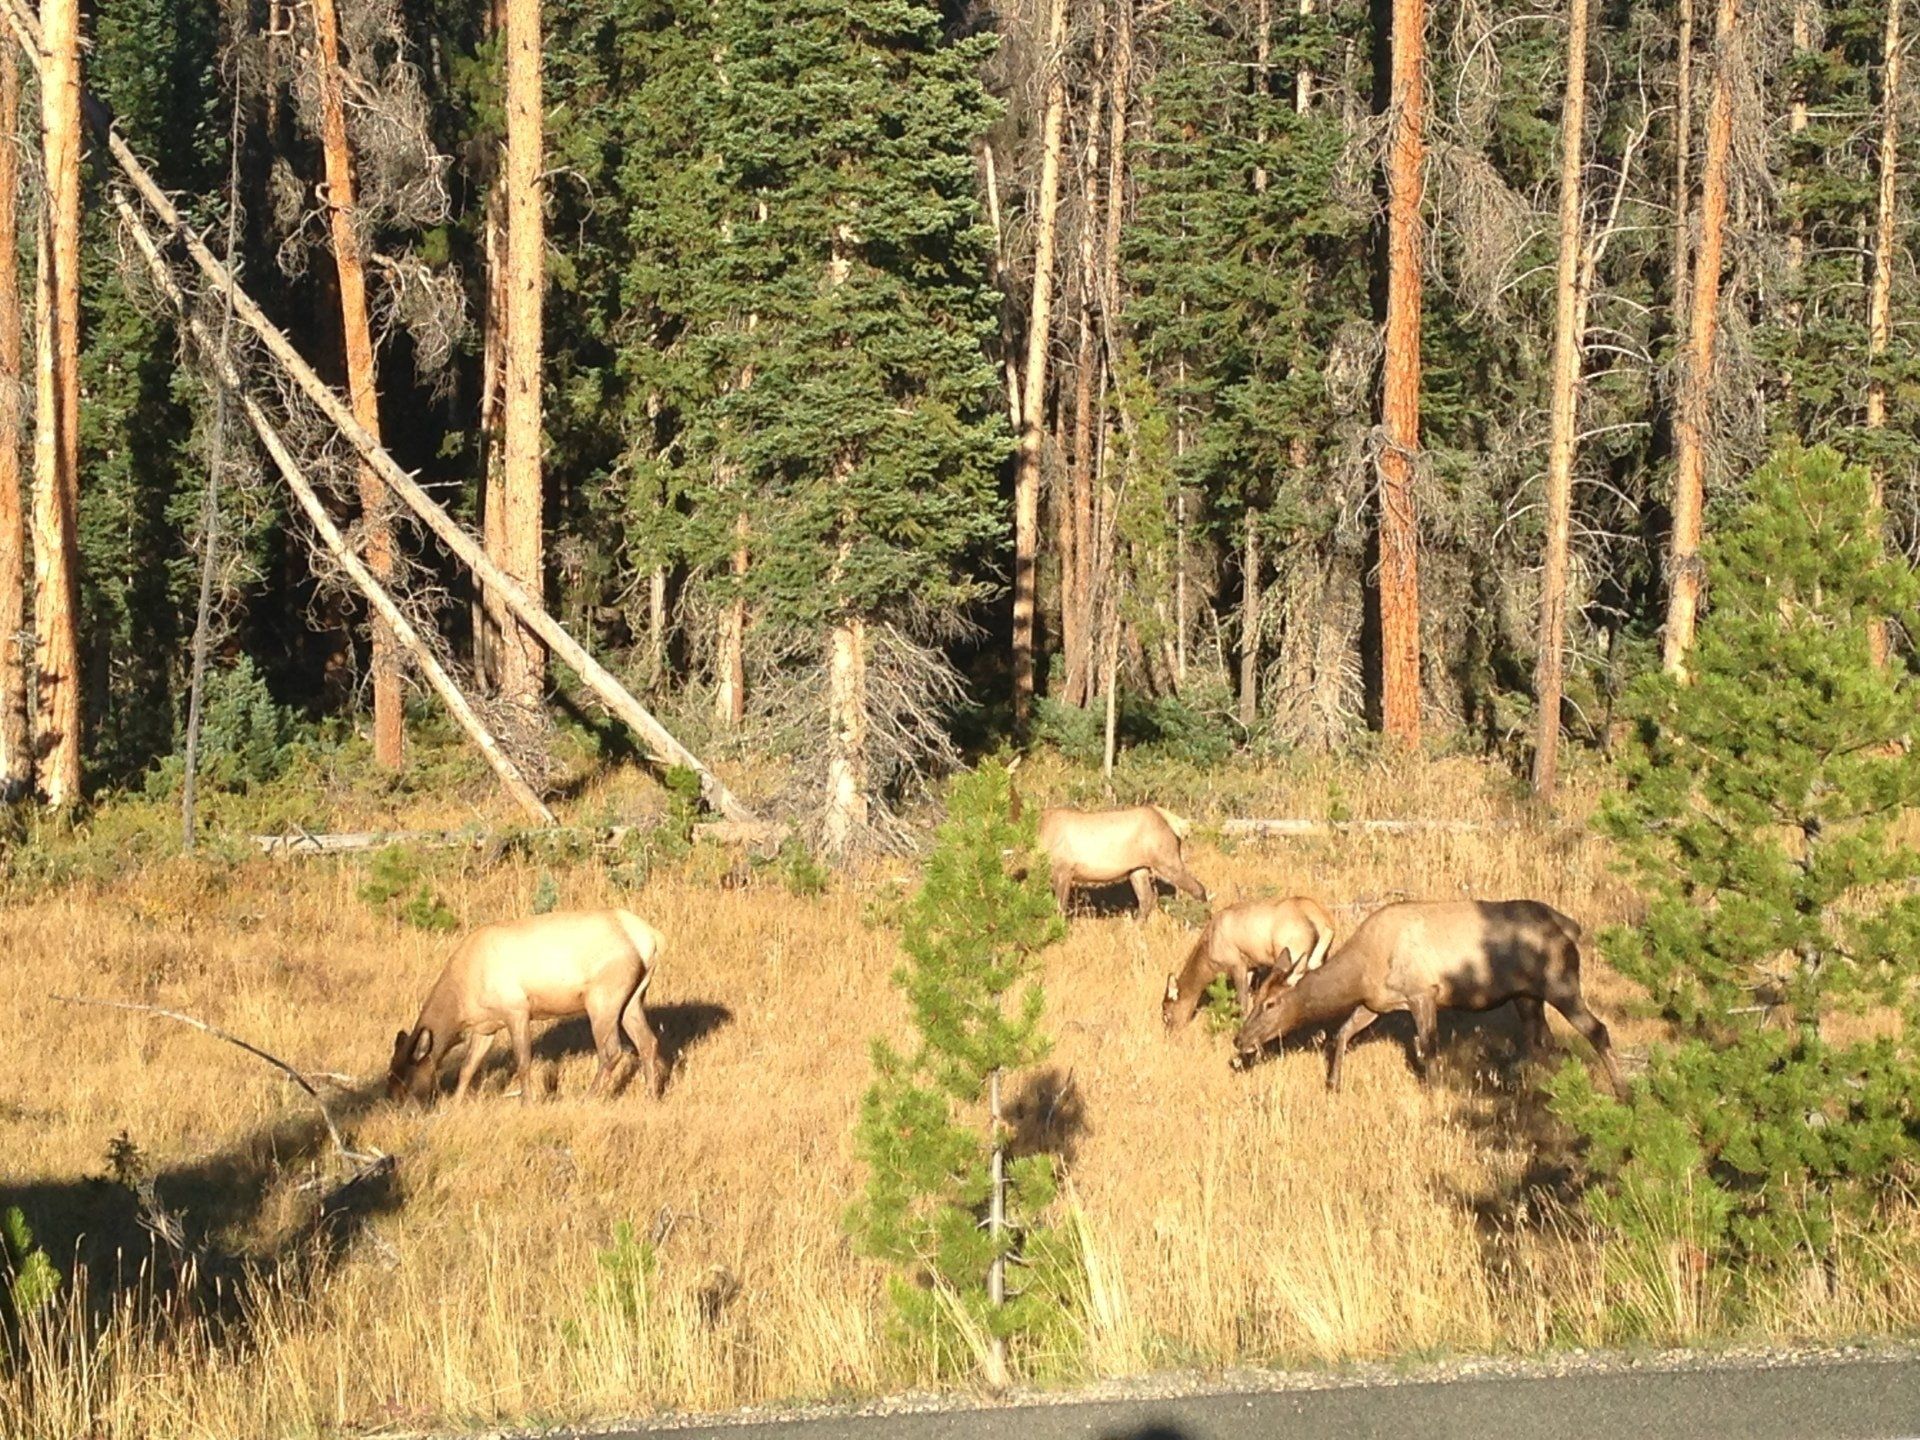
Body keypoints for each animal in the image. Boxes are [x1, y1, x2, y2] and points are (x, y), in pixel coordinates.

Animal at [388, 907, 666, 1106]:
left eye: (406, 1079)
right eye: (391, 1074)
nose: (399, 1108)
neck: (462, 999)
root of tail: (651, 938)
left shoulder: (517, 1010)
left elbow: (523, 1061)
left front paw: (528, 1103)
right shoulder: (486, 1026)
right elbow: (468, 1067)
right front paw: (455, 1104)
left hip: (603, 998)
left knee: (611, 1051)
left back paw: (587, 1099)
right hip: (633, 998)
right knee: (648, 1042)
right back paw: (651, 1096)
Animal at [1162, 896, 1336, 1029]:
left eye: (1167, 1013)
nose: (1172, 1035)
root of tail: (1324, 923)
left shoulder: (1237, 964)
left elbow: (1243, 1003)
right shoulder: (1251, 966)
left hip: (1294, 954)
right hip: (1319, 958)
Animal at [1230, 899, 1622, 1093]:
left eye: (1271, 1003)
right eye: (1256, 996)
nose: (1240, 1039)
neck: (1363, 971)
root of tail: (1570, 927)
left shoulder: (1423, 993)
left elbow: (1429, 1048)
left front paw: (1434, 1093)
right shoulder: (1376, 1003)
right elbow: (1341, 1034)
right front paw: (1334, 1085)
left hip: (1560, 982)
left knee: (1597, 1030)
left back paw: (1622, 1092)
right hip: (1527, 995)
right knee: (1543, 1041)